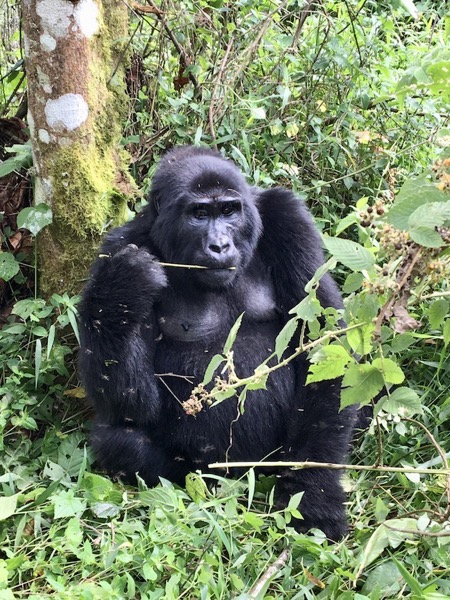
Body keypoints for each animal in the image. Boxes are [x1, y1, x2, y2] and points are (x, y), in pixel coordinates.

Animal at [79, 144, 356, 540]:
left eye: (228, 211)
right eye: (199, 214)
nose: (220, 245)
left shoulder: (289, 217)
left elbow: (323, 346)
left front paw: (314, 493)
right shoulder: (116, 246)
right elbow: (134, 405)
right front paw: (123, 285)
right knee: (119, 440)